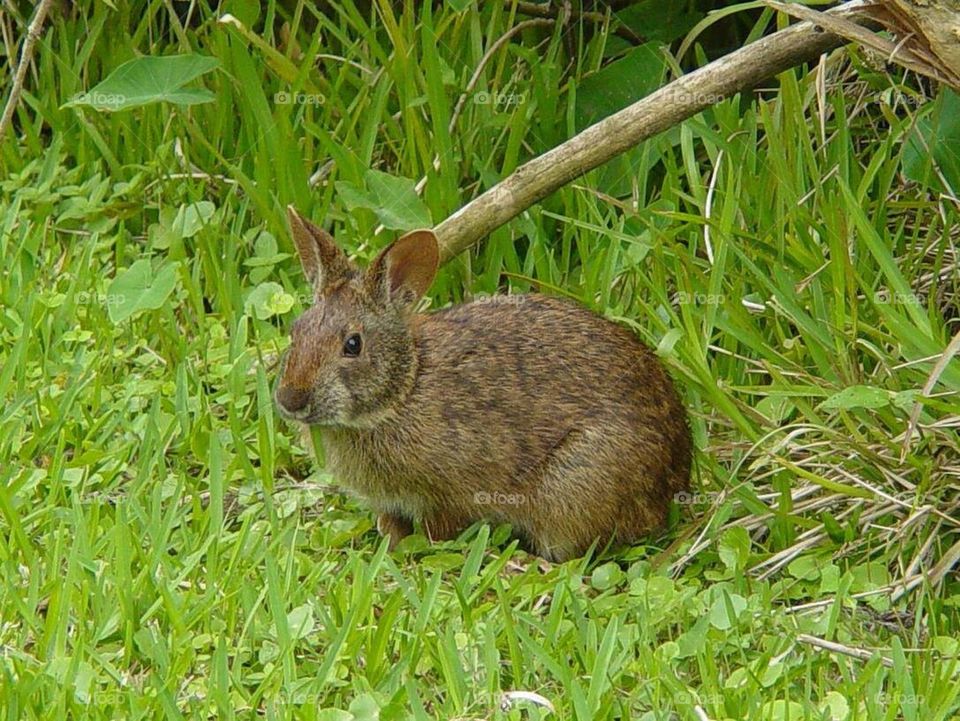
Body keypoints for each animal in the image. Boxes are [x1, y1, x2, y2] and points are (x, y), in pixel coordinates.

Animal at [274, 206, 692, 562]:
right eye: (296, 331)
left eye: (353, 344)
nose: (291, 399)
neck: (404, 388)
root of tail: (675, 481)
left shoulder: (448, 494)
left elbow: (438, 530)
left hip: (575, 483)